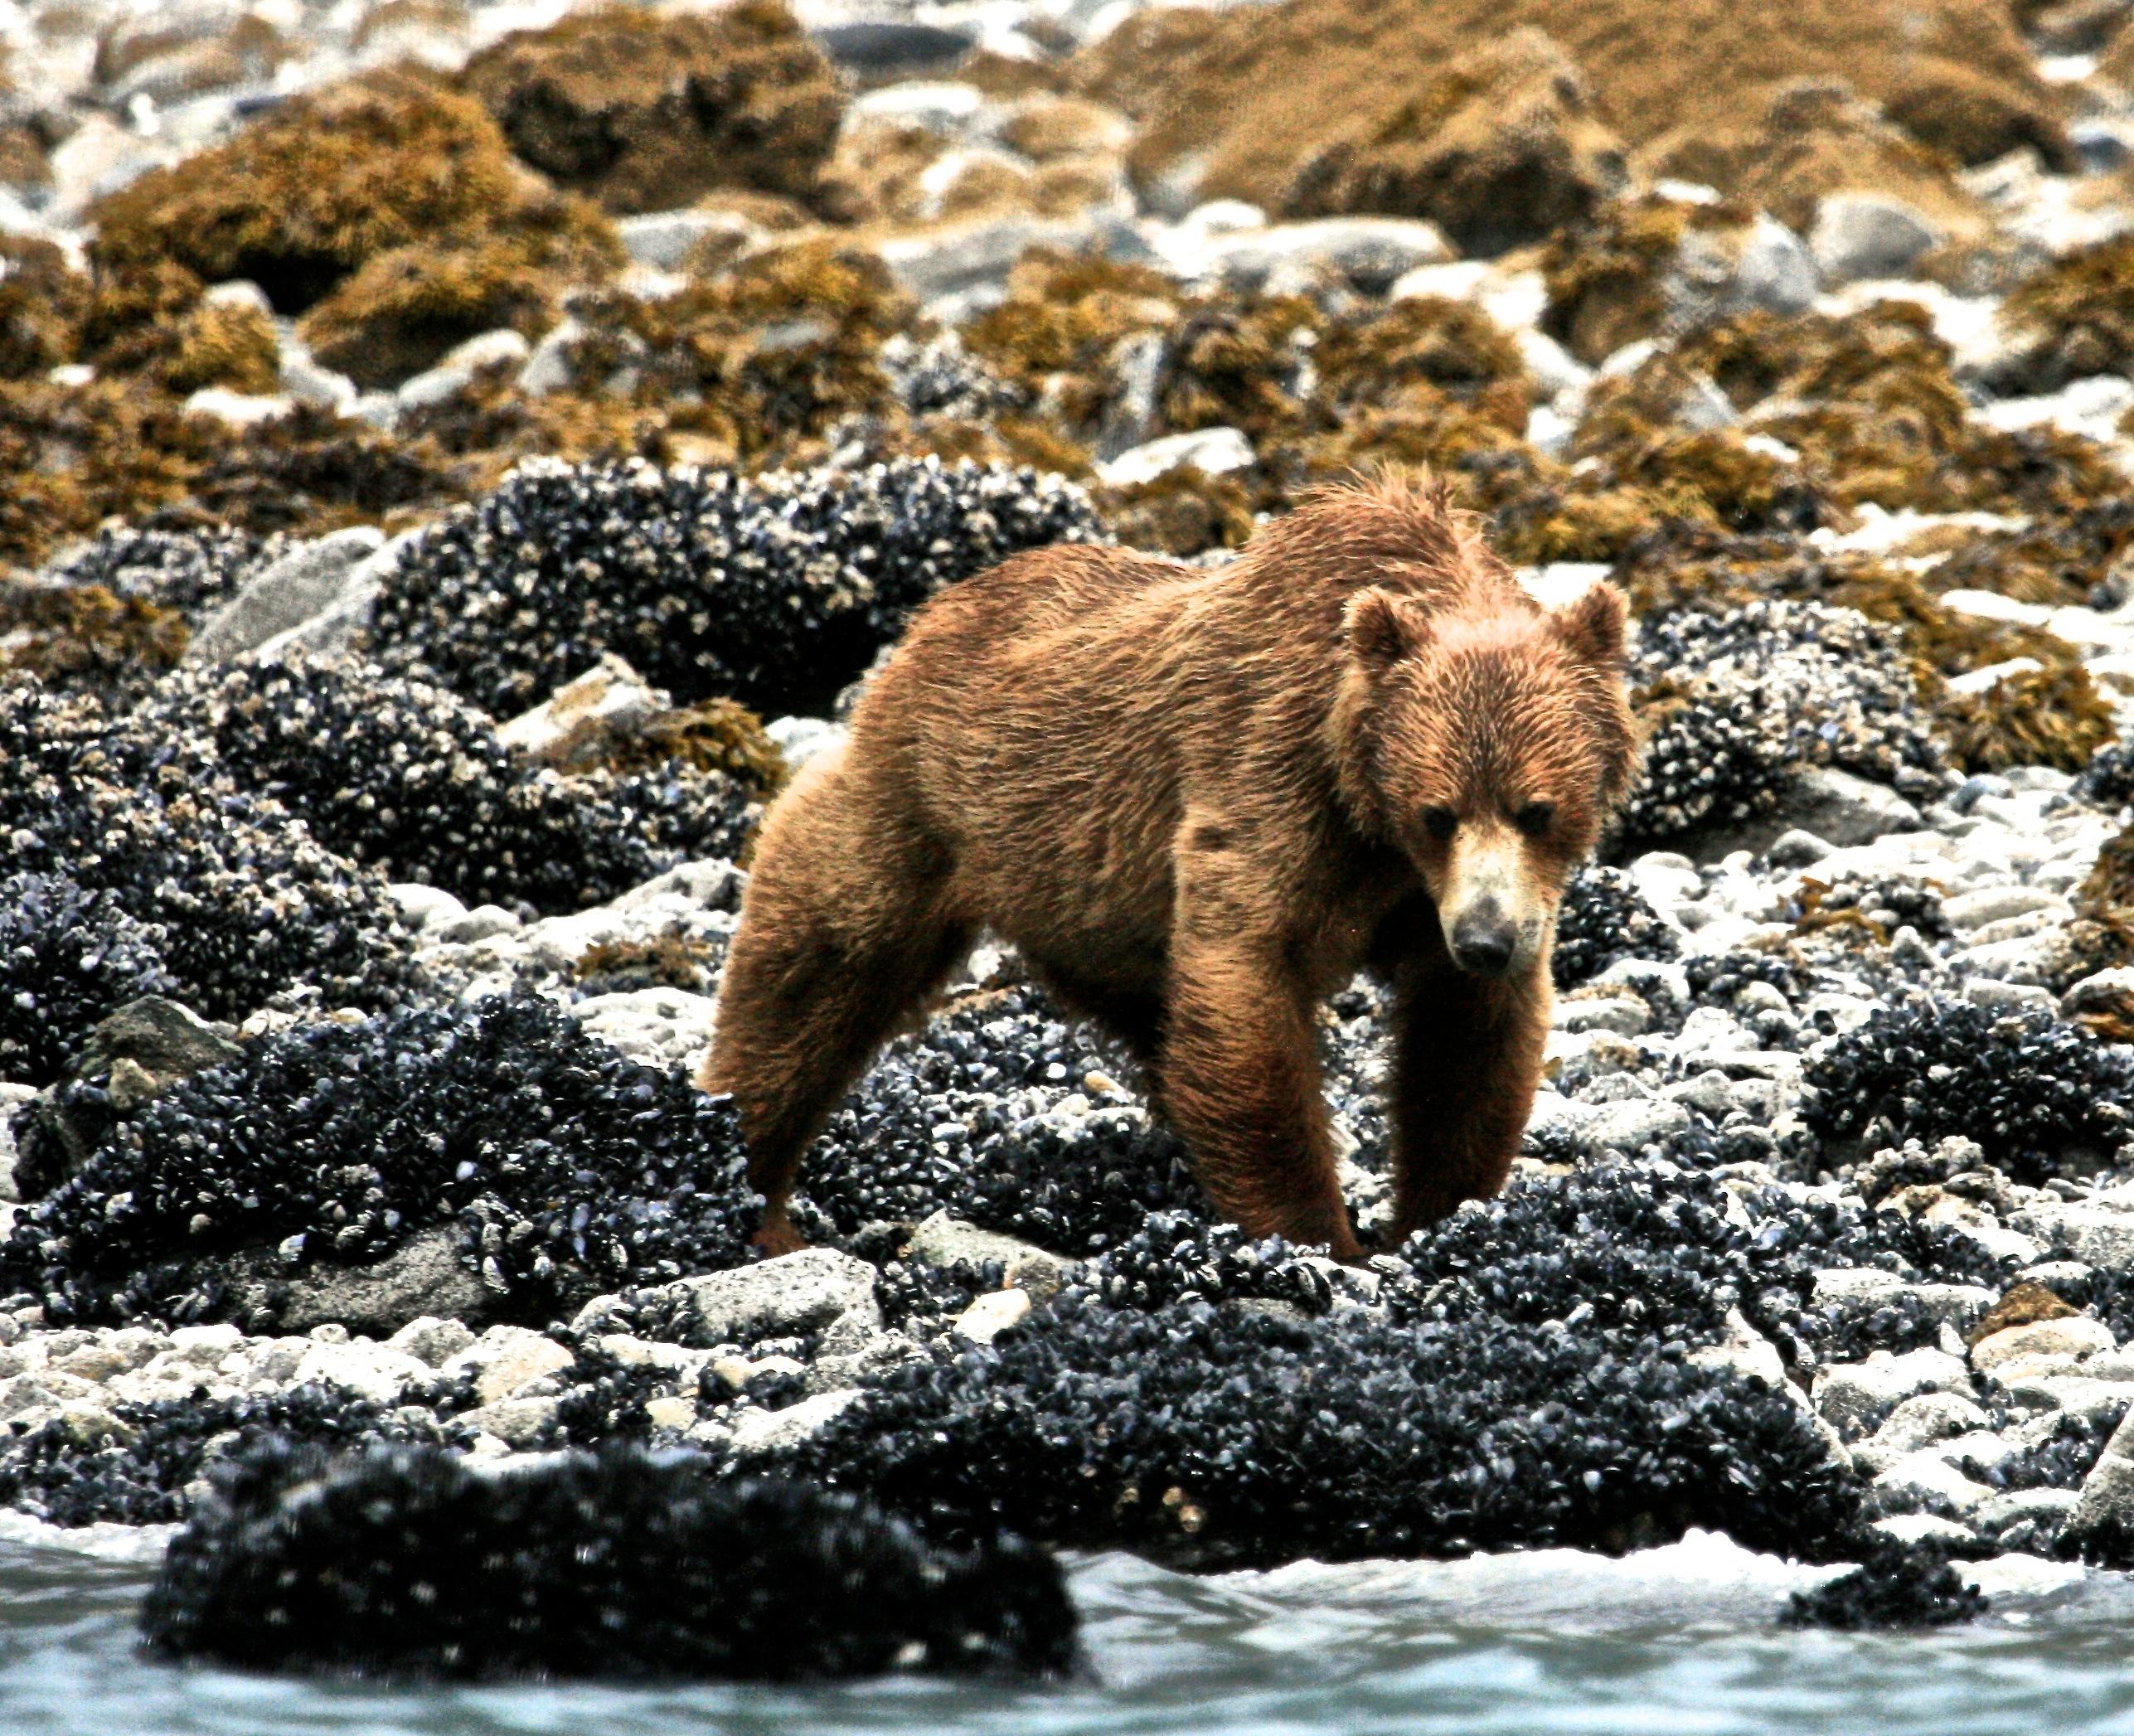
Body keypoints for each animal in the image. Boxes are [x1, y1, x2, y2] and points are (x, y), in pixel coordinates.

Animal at [700, 475, 1630, 1262]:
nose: (1485, 938)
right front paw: (1318, 1239)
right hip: (927, 799)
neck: (1369, 812)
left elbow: (1463, 1043)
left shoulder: (1435, 898)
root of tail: (930, 619)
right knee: (821, 955)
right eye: (1437, 812)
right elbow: (1247, 980)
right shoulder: (1274, 783)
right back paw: (748, 1187)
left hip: (1085, 912)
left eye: (1537, 807)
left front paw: (1443, 1215)